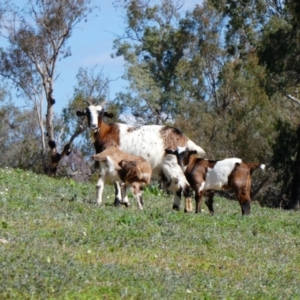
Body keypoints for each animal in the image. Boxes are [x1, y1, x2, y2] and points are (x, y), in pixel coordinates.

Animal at [76, 102, 205, 210]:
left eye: (101, 113)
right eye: (87, 113)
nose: (93, 126)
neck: (107, 132)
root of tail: (183, 138)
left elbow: (117, 183)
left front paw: (120, 202)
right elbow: (121, 182)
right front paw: (123, 202)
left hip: (172, 164)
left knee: (185, 187)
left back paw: (187, 210)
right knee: (177, 187)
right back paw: (175, 208)